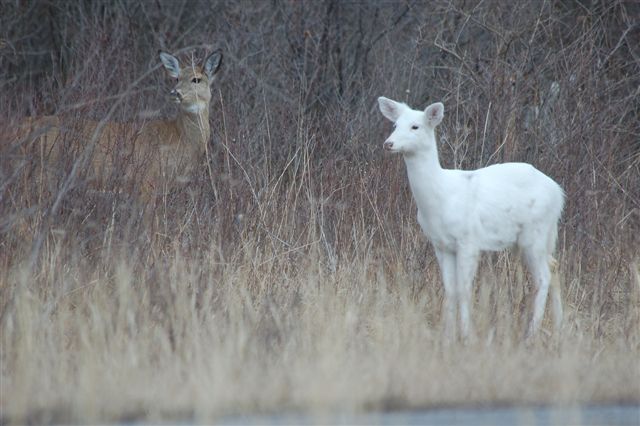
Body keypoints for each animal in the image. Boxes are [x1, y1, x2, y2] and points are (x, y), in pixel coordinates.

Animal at [377, 97, 564, 341]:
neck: (439, 199)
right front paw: (447, 335)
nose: (388, 143)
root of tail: (559, 193)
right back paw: (560, 326)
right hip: (534, 239)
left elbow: (465, 290)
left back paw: (531, 334)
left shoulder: (469, 241)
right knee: (555, 265)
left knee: (543, 277)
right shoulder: (441, 245)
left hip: (534, 233)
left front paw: (466, 335)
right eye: (395, 125)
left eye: (415, 126)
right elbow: (450, 289)